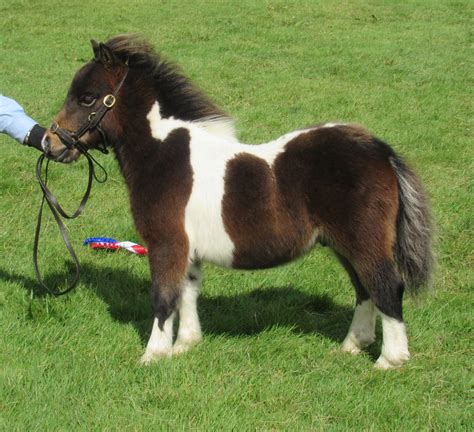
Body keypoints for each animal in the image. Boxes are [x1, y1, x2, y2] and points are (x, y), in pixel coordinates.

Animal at [43, 35, 434, 370]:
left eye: (88, 98)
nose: (50, 142)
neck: (163, 153)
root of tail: (379, 150)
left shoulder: (166, 243)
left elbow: (164, 297)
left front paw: (153, 355)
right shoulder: (188, 249)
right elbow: (187, 292)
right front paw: (185, 345)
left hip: (363, 241)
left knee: (386, 286)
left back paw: (390, 360)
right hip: (343, 243)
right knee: (364, 288)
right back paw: (353, 345)